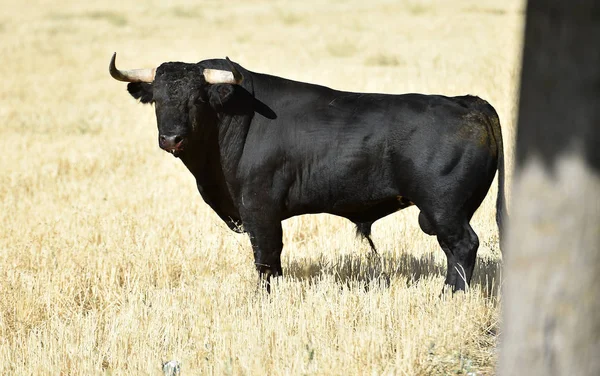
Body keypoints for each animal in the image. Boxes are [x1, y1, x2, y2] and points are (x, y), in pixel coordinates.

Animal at [109, 54, 506, 292]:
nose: (171, 138)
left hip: (444, 209)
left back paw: (450, 295)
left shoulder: (260, 209)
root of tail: (468, 102)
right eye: (158, 100)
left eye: (197, 100)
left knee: (462, 247)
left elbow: (267, 260)